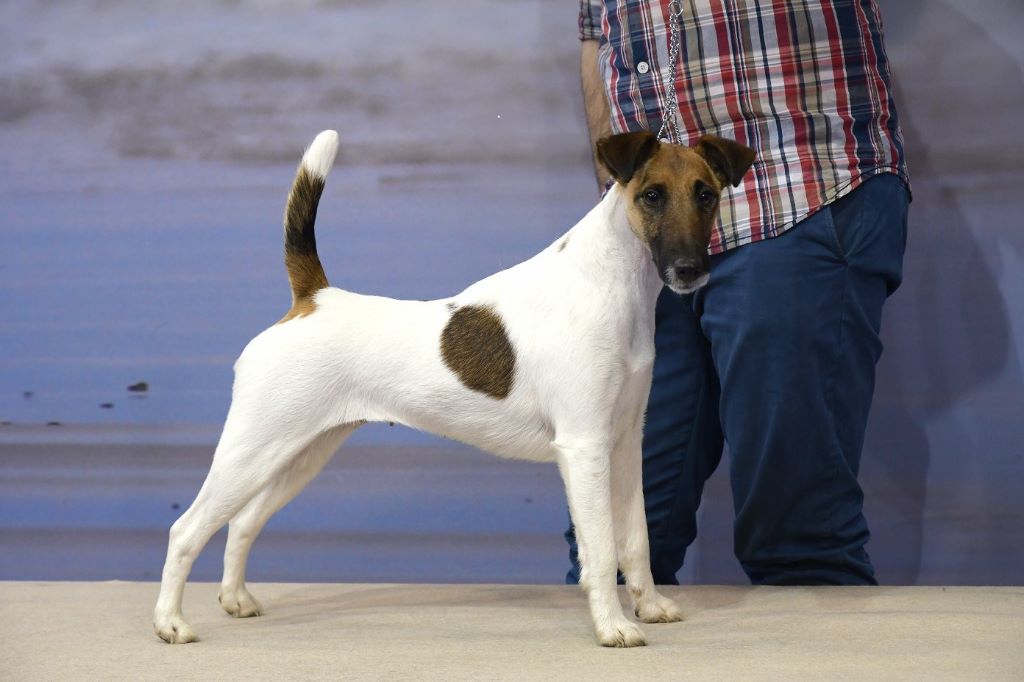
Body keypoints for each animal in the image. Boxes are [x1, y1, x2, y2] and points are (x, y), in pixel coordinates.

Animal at [153, 128, 755, 647]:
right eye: (652, 195)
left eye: (705, 194)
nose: (690, 269)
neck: (609, 285)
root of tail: (313, 299)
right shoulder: (585, 448)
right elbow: (602, 549)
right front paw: (614, 628)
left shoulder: (627, 443)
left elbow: (636, 539)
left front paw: (649, 606)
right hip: (253, 449)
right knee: (187, 529)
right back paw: (171, 624)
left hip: (299, 454)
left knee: (242, 523)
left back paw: (236, 599)